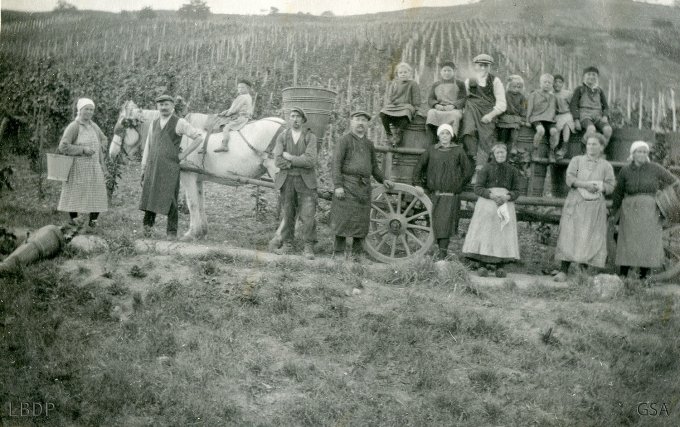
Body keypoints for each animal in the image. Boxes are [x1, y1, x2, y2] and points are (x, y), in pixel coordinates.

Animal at [109, 100, 284, 241]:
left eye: (123, 125)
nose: (111, 153)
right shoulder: (198, 178)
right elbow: (200, 203)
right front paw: (202, 232)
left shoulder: (188, 176)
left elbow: (191, 203)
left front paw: (191, 233)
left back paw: (279, 238)